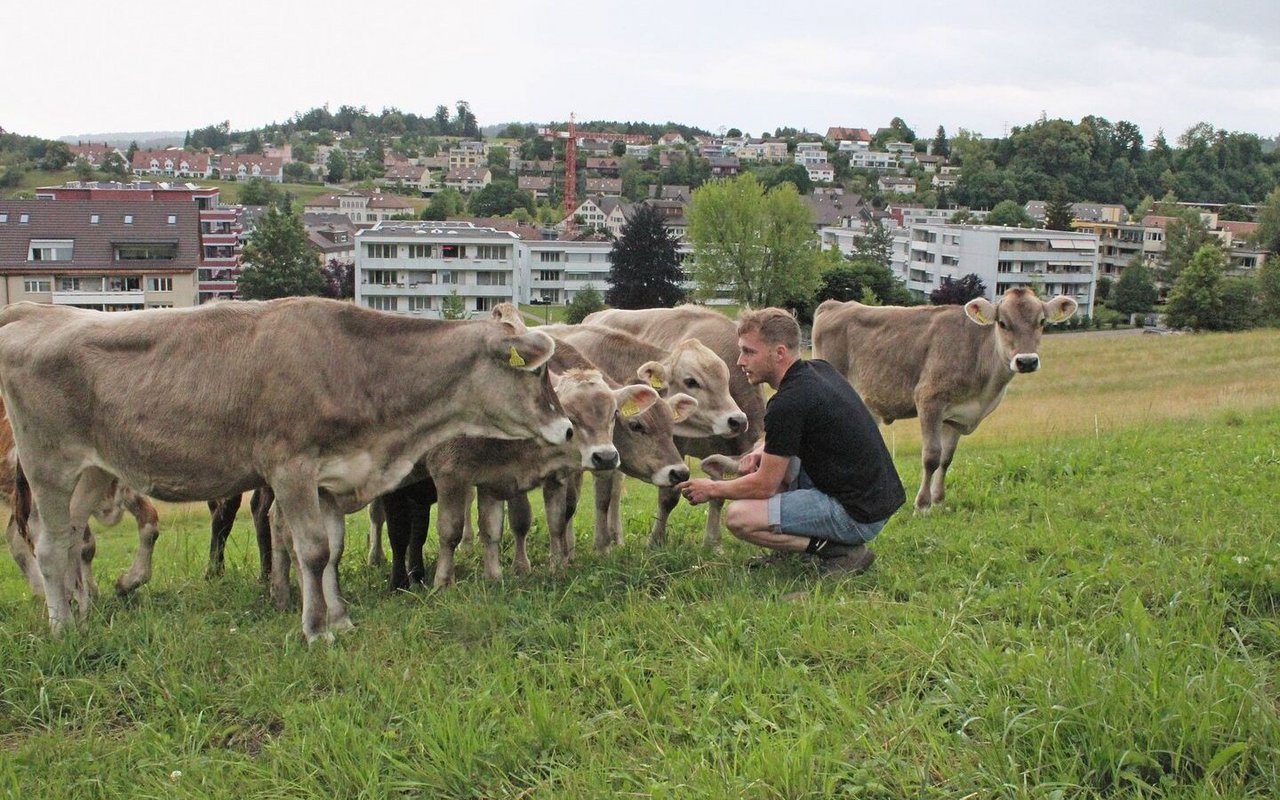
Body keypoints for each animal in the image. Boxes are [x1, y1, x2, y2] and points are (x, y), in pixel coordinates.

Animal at [0, 296, 570, 640]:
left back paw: (84, 611)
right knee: (48, 546)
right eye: (536, 372)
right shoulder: (290, 469)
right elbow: (312, 552)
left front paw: (340, 618)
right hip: (47, 463)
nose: (566, 430)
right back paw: (62, 628)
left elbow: (332, 551)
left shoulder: (329, 477)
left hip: (95, 468)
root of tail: (34, 311)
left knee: (74, 539)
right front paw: (315, 629)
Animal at [814, 288, 1075, 512]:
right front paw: (922, 504)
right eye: (1002, 323)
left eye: (1041, 322)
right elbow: (931, 456)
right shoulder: (929, 400)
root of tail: (835, 304)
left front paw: (939, 500)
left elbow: (946, 458)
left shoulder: (957, 417)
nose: (1027, 361)